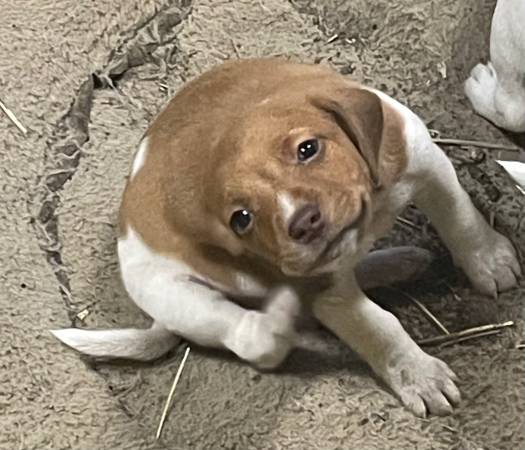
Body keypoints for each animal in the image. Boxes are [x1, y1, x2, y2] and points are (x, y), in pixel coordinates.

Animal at [53, 59, 520, 418]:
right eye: (242, 218)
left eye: (307, 149)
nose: (304, 223)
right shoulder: (323, 290)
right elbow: (379, 329)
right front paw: (418, 375)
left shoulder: (425, 161)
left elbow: (460, 216)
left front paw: (490, 261)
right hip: (180, 297)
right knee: (251, 337)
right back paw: (283, 319)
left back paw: (399, 261)